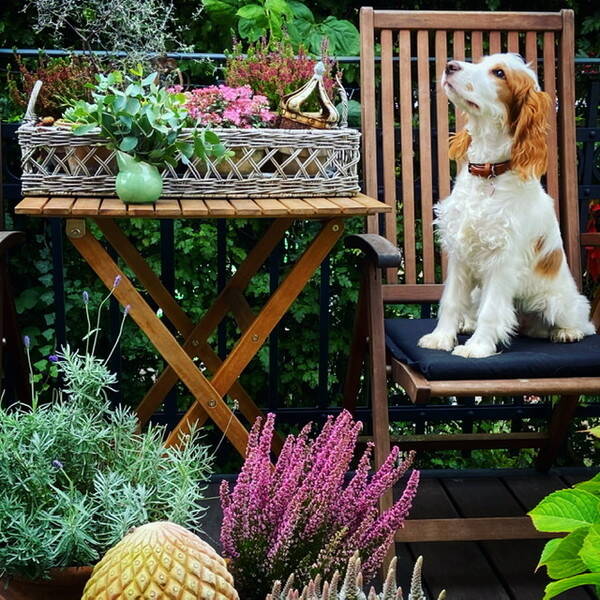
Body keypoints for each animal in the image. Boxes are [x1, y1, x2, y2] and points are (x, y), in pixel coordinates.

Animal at [418, 52, 596, 356]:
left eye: (499, 73)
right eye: (480, 62)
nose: (449, 65)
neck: (488, 171)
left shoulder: (503, 259)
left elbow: (492, 310)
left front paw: (477, 347)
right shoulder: (460, 254)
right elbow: (451, 301)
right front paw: (440, 338)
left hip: (559, 302)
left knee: (584, 322)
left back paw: (567, 332)